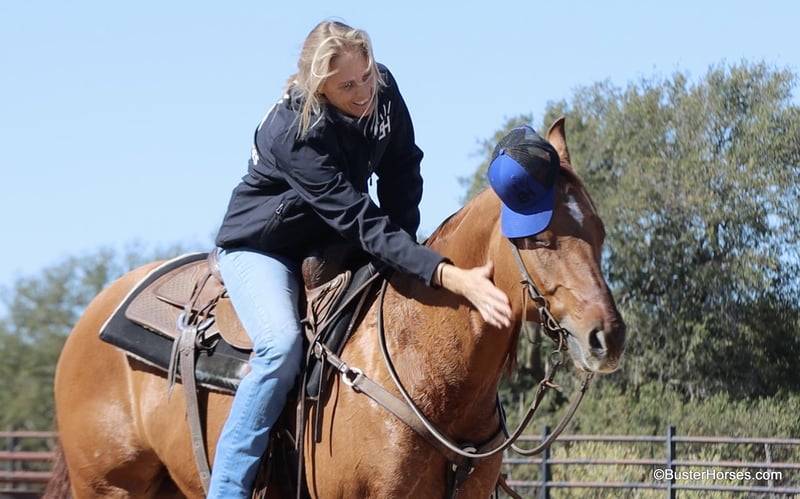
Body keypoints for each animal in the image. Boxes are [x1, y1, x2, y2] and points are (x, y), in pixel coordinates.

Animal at [46, 116, 625, 498]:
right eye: (540, 239)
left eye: (598, 231)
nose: (608, 336)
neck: (427, 368)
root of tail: (92, 317)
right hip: (109, 486)